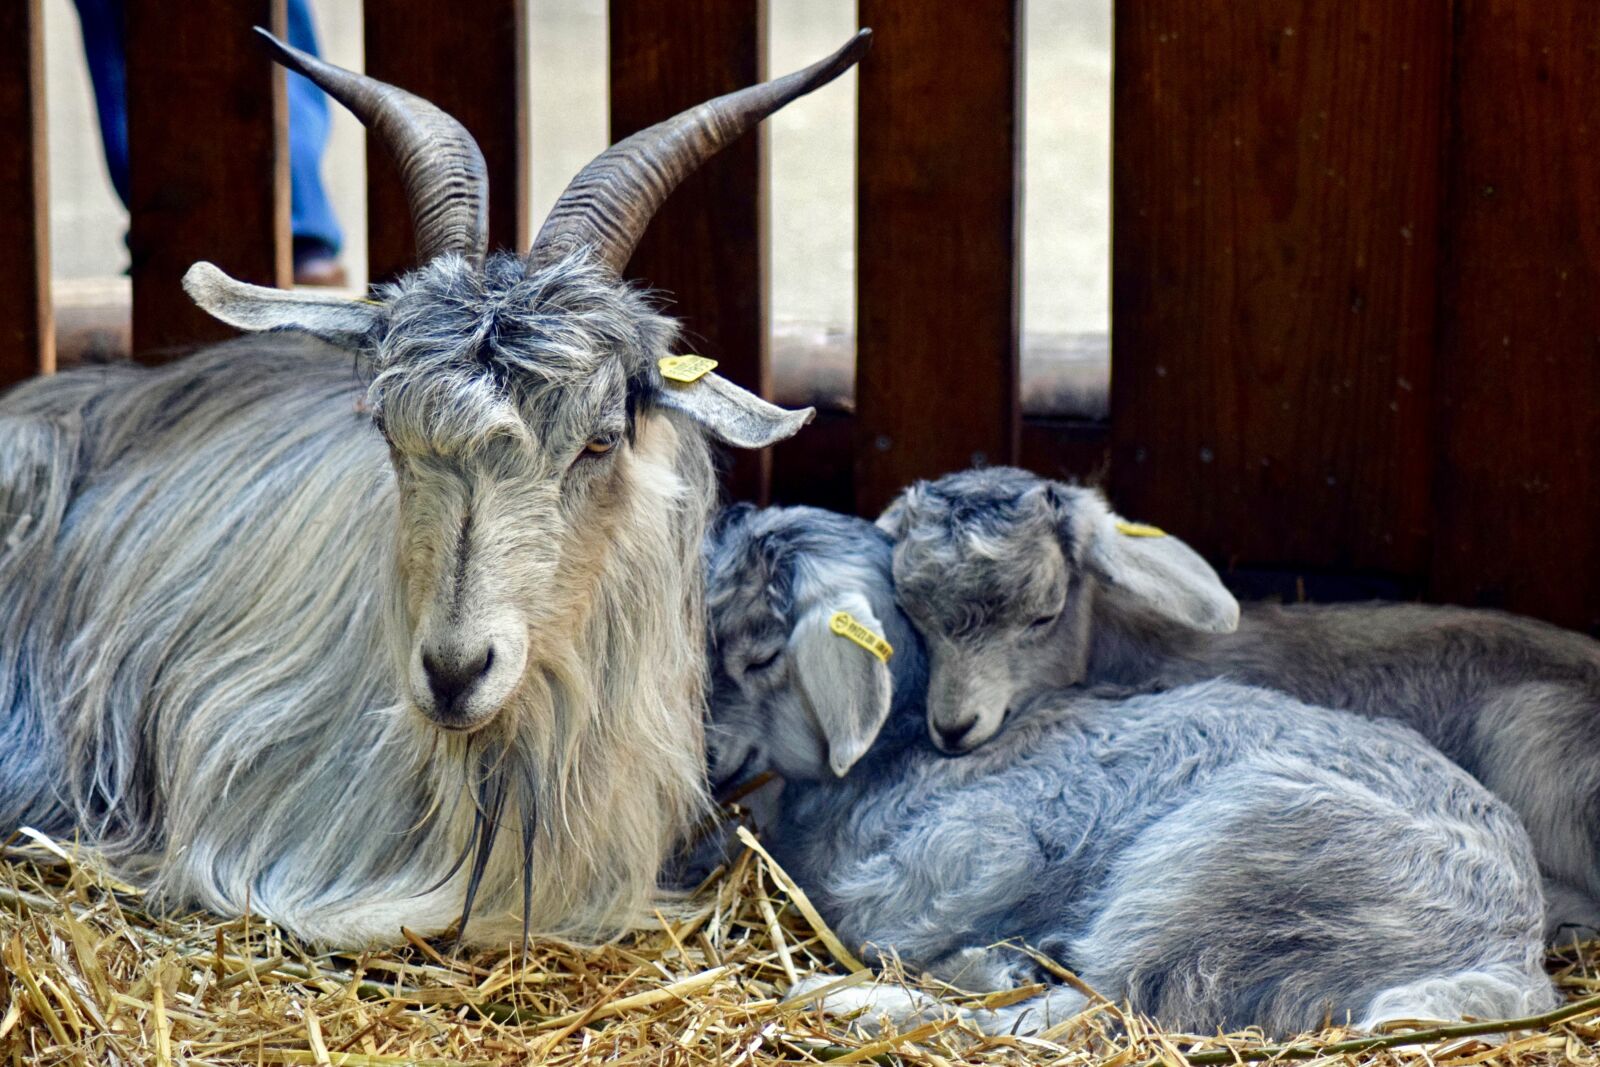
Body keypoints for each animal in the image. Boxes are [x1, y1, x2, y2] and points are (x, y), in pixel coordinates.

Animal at [703, 504, 1555, 1036]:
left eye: (762, 654)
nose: (704, 755)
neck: (893, 753)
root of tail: (1509, 956)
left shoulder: (977, 851)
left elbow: (903, 927)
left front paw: (976, 961)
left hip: (1221, 871)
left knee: (1097, 1008)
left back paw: (853, 1001)